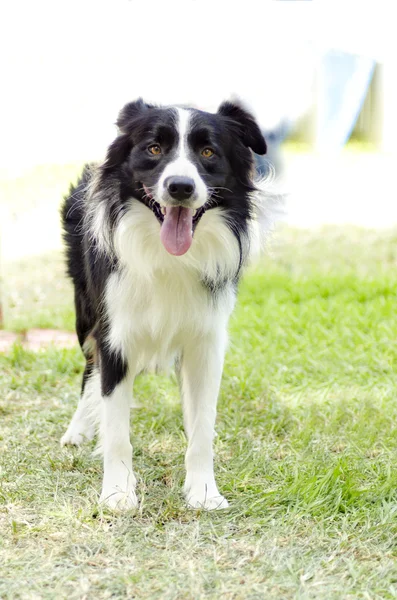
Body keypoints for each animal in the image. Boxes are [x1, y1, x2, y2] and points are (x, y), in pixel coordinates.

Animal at [60, 98, 274, 510]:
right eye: (154, 149)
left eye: (208, 152)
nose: (180, 187)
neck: (168, 258)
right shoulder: (115, 336)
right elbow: (116, 429)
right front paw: (117, 493)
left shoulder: (206, 341)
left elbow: (203, 425)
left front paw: (203, 491)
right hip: (86, 312)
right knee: (90, 369)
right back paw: (78, 429)